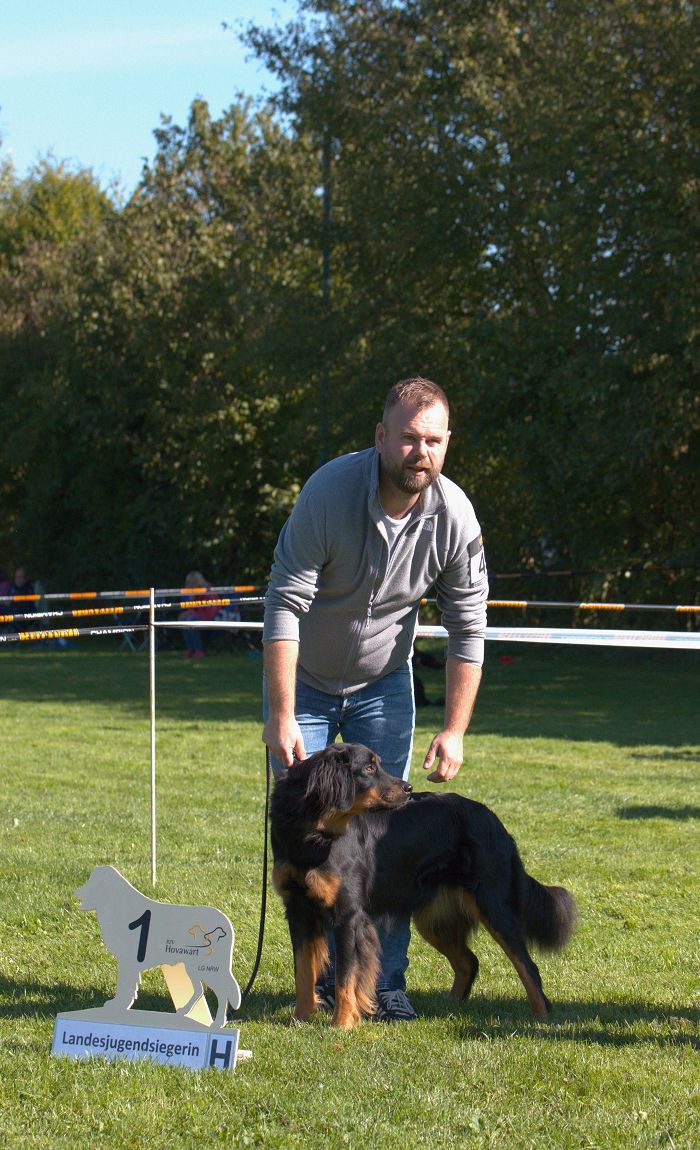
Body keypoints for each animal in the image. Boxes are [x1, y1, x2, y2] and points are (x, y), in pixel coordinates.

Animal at [75, 864, 241, 1030]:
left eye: (93, 883)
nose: (77, 892)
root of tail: (226, 924)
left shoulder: (128, 962)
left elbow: (125, 987)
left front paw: (118, 1005)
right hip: (194, 968)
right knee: (200, 990)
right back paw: (184, 1012)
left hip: (208, 969)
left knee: (222, 992)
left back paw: (218, 1023)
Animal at [270, 745, 577, 1035]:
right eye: (368, 768)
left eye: (378, 764)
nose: (408, 788)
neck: (313, 831)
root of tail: (492, 818)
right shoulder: (297, 910)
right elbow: (303, 972)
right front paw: (300, 1019)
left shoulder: (348, 914)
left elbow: (345, 977)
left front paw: (342, 1024)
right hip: (433, 919)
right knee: (469, 961)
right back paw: (450, 1008)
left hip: (493, 905)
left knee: (527, 966)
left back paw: (542, 1017)